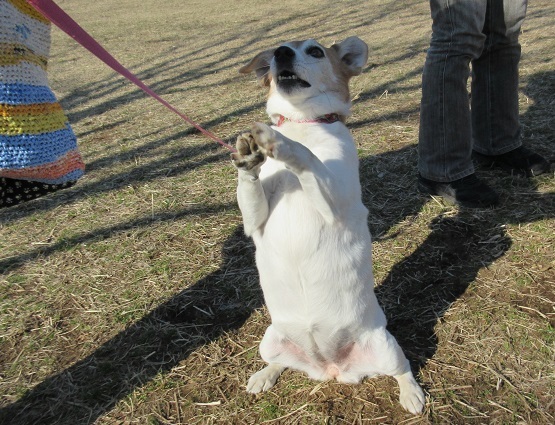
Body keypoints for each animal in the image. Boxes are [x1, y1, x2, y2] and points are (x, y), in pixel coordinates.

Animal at [230, 36, 426, 414]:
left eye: (315, 51)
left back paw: (411, 395)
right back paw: (264, 375)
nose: (281, 54)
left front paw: (278, 141)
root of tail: (331, 368)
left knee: (403, 368)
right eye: (276, 50)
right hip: (270, 340)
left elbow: (305, 156)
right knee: (279, 362)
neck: (303, 124)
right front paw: (248, 154)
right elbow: (251, 189)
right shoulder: (254, 220)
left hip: (385, 346)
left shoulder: (333, 199)